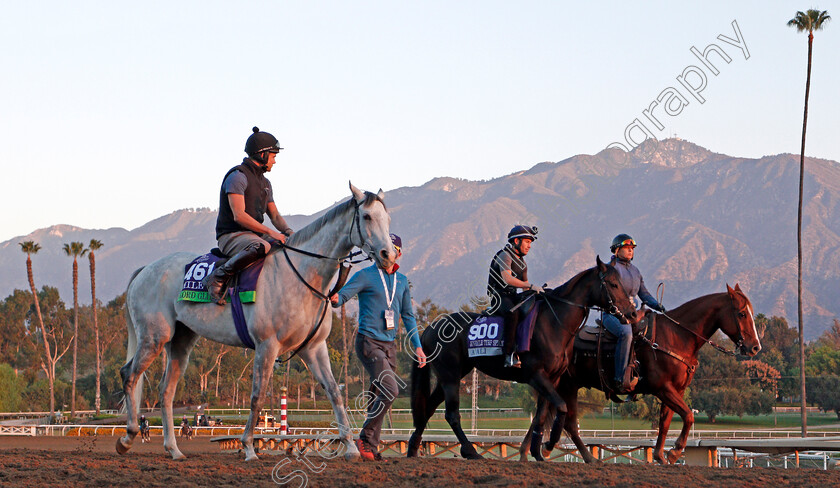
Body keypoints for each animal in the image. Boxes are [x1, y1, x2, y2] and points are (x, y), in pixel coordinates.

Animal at [406, 258, 636, 460]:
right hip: (451, 377)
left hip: (449, 376)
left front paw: (534, 452)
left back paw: (413, 450)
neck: (555, 323)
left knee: (428, 409)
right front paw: (548, 445)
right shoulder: (536, 375)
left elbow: (541, 415)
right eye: (613, 284)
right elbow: (561, 407)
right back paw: (471, 451)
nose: (632, 313)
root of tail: (428, 329)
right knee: (452, 415)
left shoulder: (552, 378)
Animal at [524, 286, 760, 466]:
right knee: (565, 422)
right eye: (741, 313)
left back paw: (534, 454)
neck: (676, 336)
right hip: (564, 386)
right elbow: (688, 415)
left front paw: (661, 456)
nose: (755, 347)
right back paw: (562, 453)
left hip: (566, 386)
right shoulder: (663, 388)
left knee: (549, 419)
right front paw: (675, 452)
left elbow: (665, 422)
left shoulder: (675, 390)